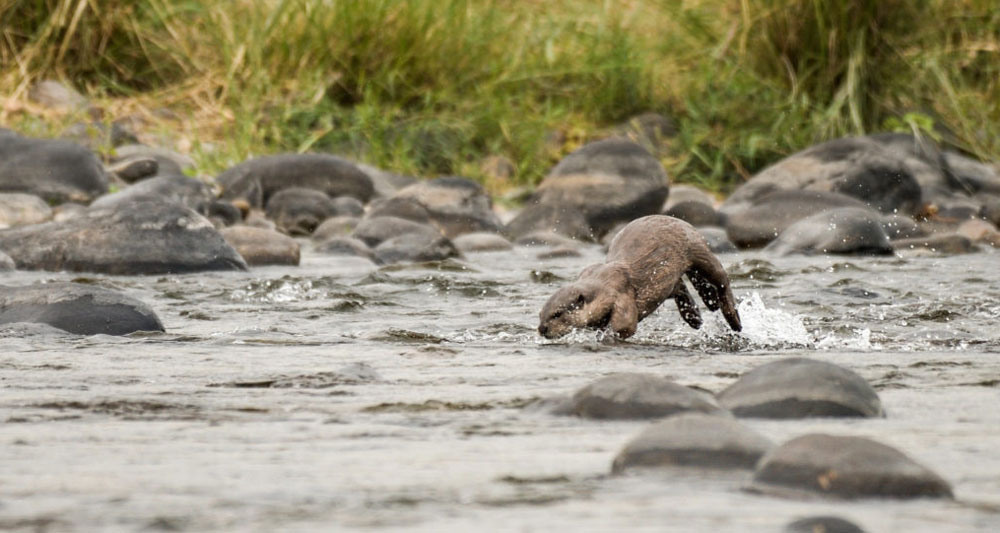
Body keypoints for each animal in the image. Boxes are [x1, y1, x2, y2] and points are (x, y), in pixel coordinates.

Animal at [540, 214, 744, 338]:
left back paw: (734, 319)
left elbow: (625, 326)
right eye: (541, 314)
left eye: (557, 314)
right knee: (680, 286)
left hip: (698, 250)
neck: (602, 285)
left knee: (722, 280)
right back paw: (694, 316)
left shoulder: (621, 294)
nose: (542, 328)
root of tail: (681, 221)